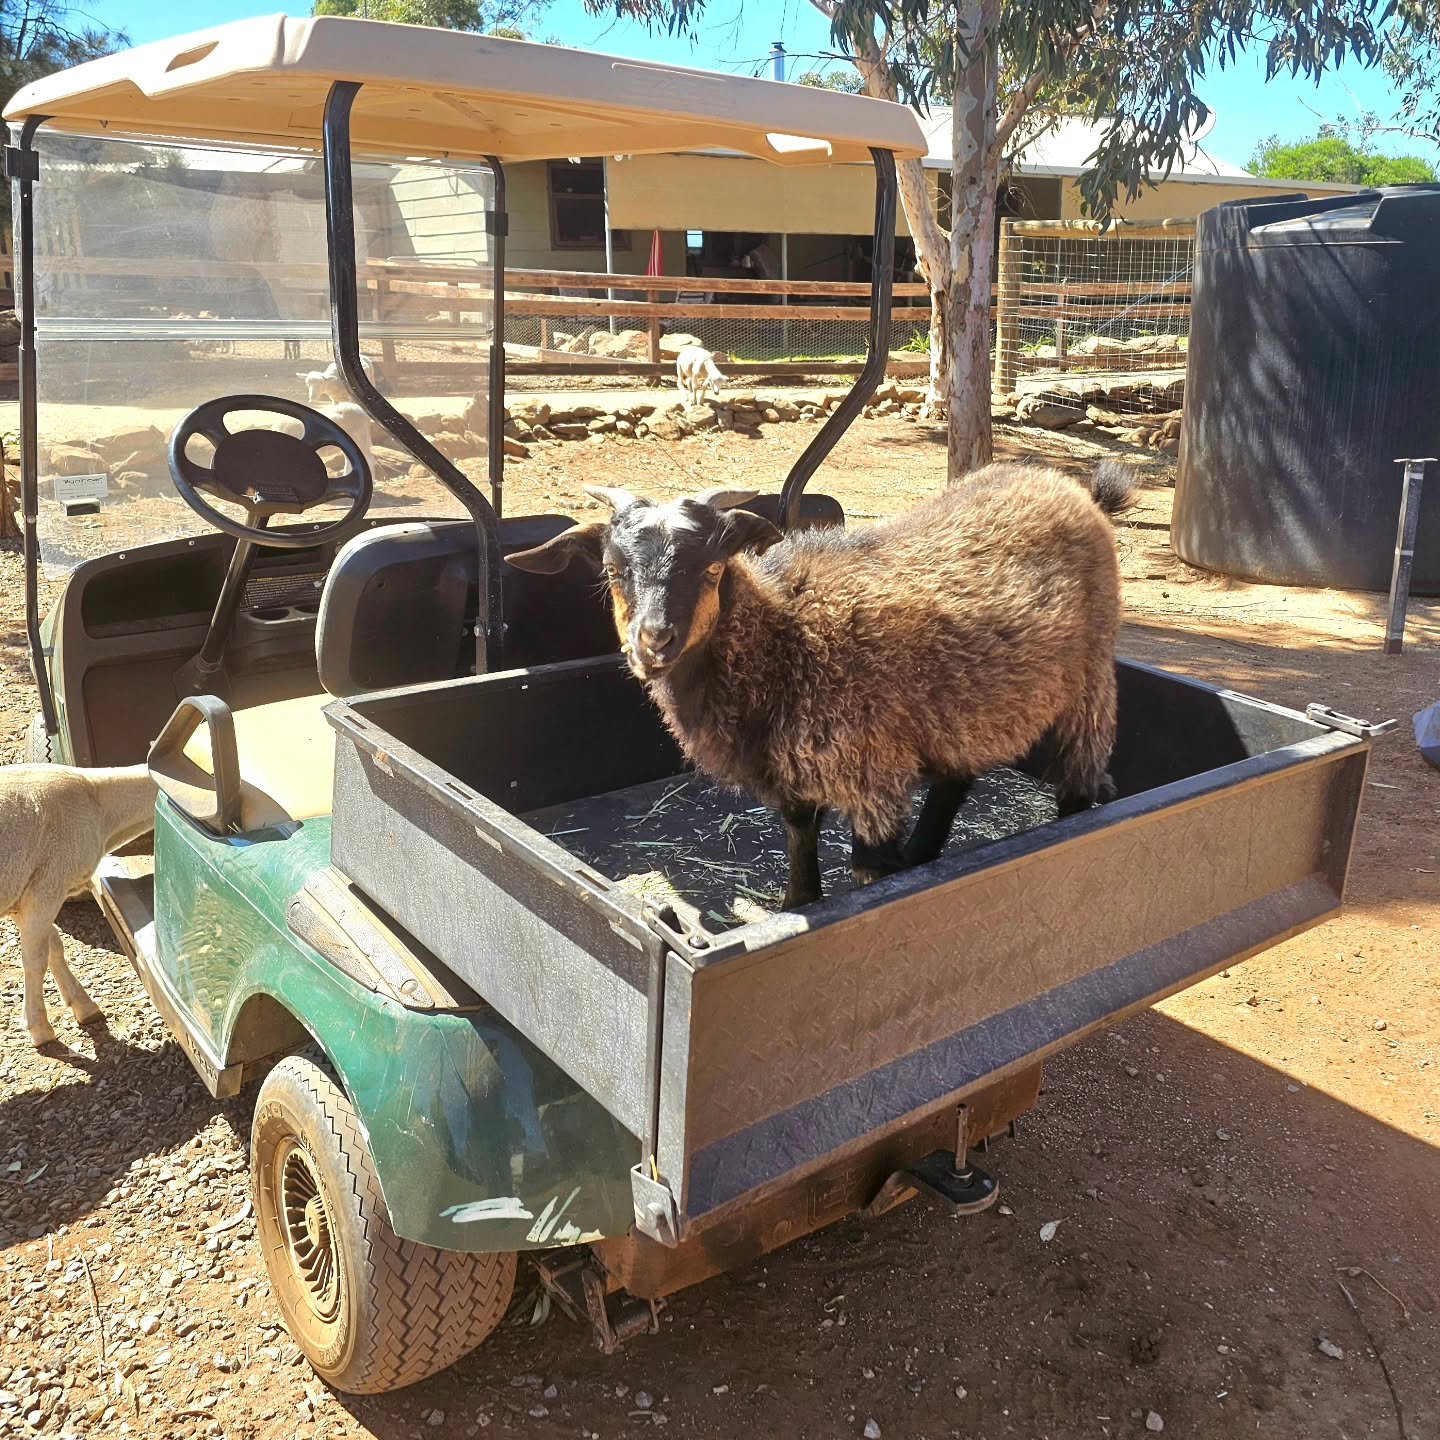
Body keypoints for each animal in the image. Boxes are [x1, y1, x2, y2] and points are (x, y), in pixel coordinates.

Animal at [1, 763, 156, 1046]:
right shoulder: (47, 885)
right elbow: (35, 960)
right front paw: (39, 1028)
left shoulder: (22, 894)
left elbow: (55, 947)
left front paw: (84, 1006)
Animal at [508, 462, 1133, 909]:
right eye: (614, 572)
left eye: (712, 569)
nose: (654, 641)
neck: (783, 638)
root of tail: (1068, 486)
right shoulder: (792, 772)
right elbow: (801, 845)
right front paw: (797, 903)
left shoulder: (872, 773)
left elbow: (868, 869)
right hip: (966, 707)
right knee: (956, 778)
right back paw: (924, 854)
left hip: (1091, 681)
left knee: (1081, 780)